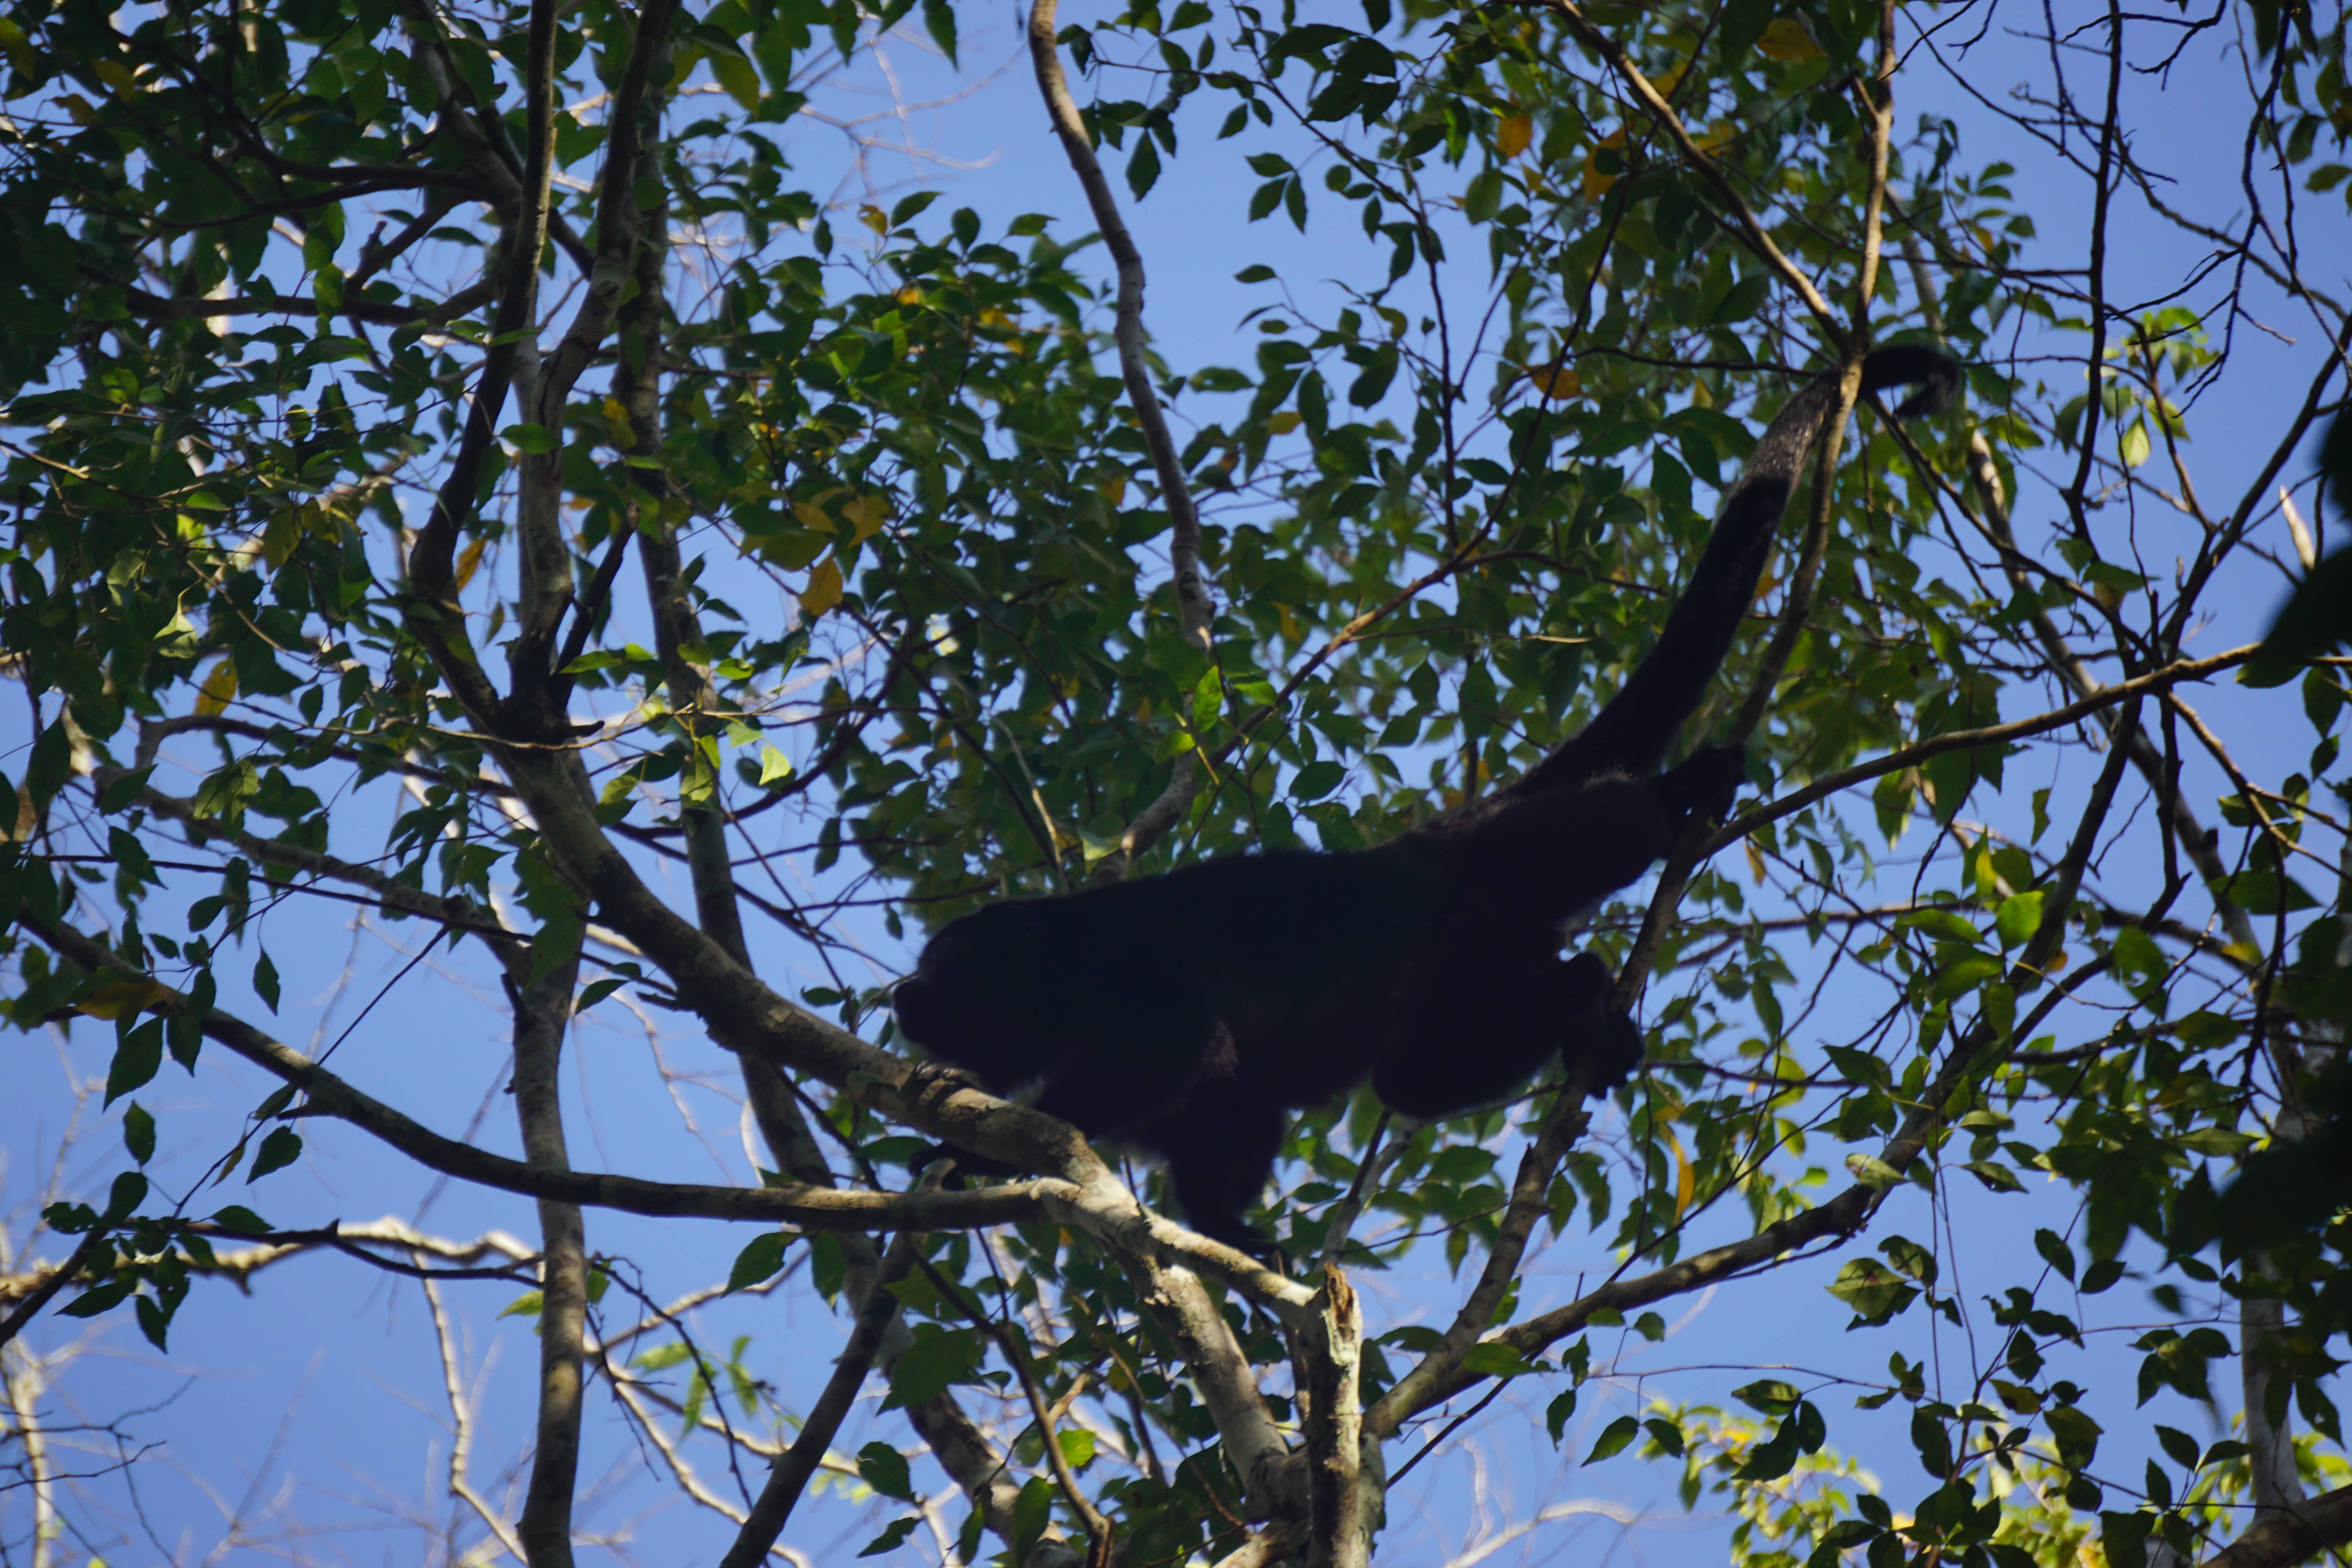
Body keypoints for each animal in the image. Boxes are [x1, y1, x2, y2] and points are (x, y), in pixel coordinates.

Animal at [891, 345, 1962, 1248]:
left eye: (944, 960)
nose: (903, 990)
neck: (1060, 966)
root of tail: (1425, 843)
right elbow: (1229, 1116)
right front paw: (1229, 1234)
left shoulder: (1130, 972)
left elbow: (1175, 1048)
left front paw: (969, 1137)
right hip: (1468, 958)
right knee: (1417, 1076)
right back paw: (1581, 997)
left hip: (1510, 856)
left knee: (1609, 827)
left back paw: (1678, 796)